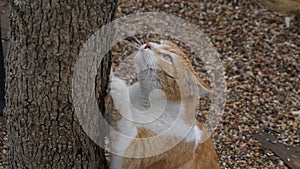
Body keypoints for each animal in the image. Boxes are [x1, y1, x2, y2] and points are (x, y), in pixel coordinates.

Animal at [109, 41, 219, 169]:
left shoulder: (132, 153)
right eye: (160, 42)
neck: (144, 102)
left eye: (167, 58)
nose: (148, 44)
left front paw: (119, 87)